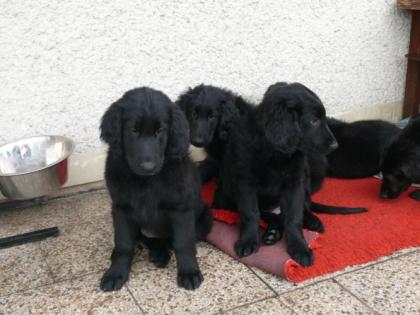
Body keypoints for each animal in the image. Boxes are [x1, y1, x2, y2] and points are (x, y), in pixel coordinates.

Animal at [100, 87, 213, 292]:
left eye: (160, 130)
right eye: (133, 130)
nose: (148, 166)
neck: (146, 181)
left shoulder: (181, 209)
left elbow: (183, 243)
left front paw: (189, 272)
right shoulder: (121, 209)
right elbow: (123, 244)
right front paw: (116, 272)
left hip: (205, 219)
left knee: (169, 241)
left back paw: (161, 254)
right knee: (145, 239)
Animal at [217, 82, 338, 266]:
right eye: (314, 121)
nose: (335, 145)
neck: (274, 153)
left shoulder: (294, 183)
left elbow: (294, 216)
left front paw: (300, 248)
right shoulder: (245, 183)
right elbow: (251, 213)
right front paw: (247, 241)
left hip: (305, 178)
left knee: (302, 206)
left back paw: (312, 221)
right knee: (270, 215)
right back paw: (273, 232)